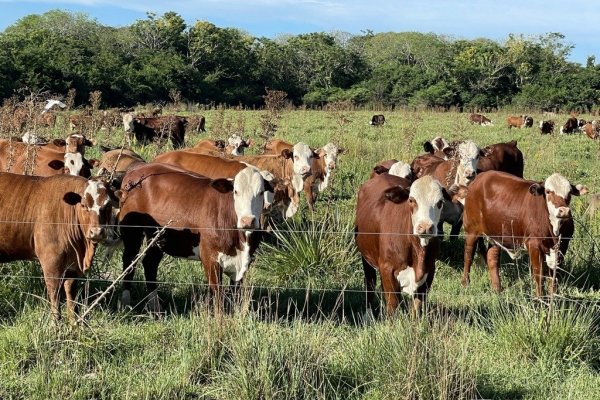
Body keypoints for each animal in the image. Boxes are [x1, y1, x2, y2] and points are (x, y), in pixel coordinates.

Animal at [0, 174, 118, 318]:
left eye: (107, 205)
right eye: (83, 205)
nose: (96, 232)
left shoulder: (72, 266)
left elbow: (72, 300)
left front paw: (75, 323)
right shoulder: (51, 262)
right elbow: (55, 297)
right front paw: (56, 323)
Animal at [118, 162, 272, 310]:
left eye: (261, 192)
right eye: (236, 191)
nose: (248, 221)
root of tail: (138, 168)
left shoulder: (243, 263)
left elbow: (235, 294)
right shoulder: (210, 258)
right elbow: (218, 296)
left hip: (157, 238)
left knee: (150, 263)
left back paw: (155, 306)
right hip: (131, 232)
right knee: (129, 261)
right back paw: (125, 302)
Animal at [356, 175, 464, 316]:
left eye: (440, 202)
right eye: (411, 200)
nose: (425, 227)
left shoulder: (429, 271)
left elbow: (417, 307)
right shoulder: (387, 269)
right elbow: (392, 306)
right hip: (366, 257)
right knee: (370, 284)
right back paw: (367, 315)